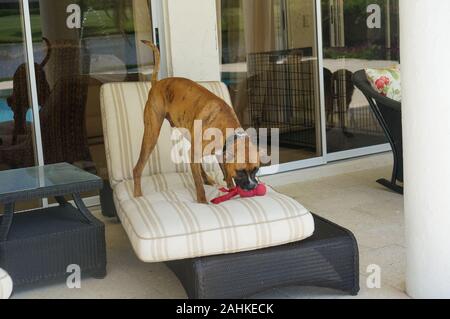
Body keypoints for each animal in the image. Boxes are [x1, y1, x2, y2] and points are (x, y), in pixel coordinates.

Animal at [133, 41, 260, 204]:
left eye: (256, 169)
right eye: (241, 171)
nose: (252, 187)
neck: (226, 128)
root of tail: (156, 84)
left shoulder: (220, 155)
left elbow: (226, 175)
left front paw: (231, 189)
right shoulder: (196, 154)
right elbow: (198, 184)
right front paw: (202, 201)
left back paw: (208, 179)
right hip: (151, 136)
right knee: (138, 168)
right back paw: (137, 193)